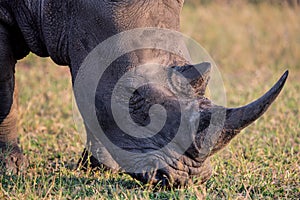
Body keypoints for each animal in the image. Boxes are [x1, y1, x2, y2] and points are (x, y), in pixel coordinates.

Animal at [0, 0, 288, 188]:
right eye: (134, 98)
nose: (186, 179)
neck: (60, 7)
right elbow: (5, 92)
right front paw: (10, 169)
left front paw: (99, 167)